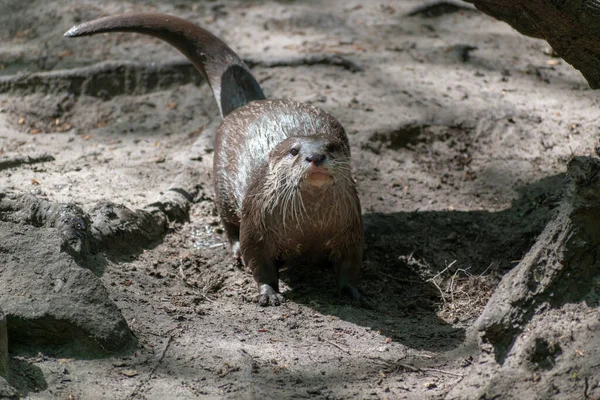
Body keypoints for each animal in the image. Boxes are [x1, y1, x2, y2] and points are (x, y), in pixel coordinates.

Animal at [67, 12, 366, 306]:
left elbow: (350, 264)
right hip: (221, 183)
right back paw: (234, 251)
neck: (308, 229)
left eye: (331, 147)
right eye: (294, 150)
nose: (315, 156)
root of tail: (249, 104)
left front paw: (351, 291)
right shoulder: (256, 226)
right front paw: (268, 292)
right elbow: (259, 263)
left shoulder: (352, 228)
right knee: (228, 223)